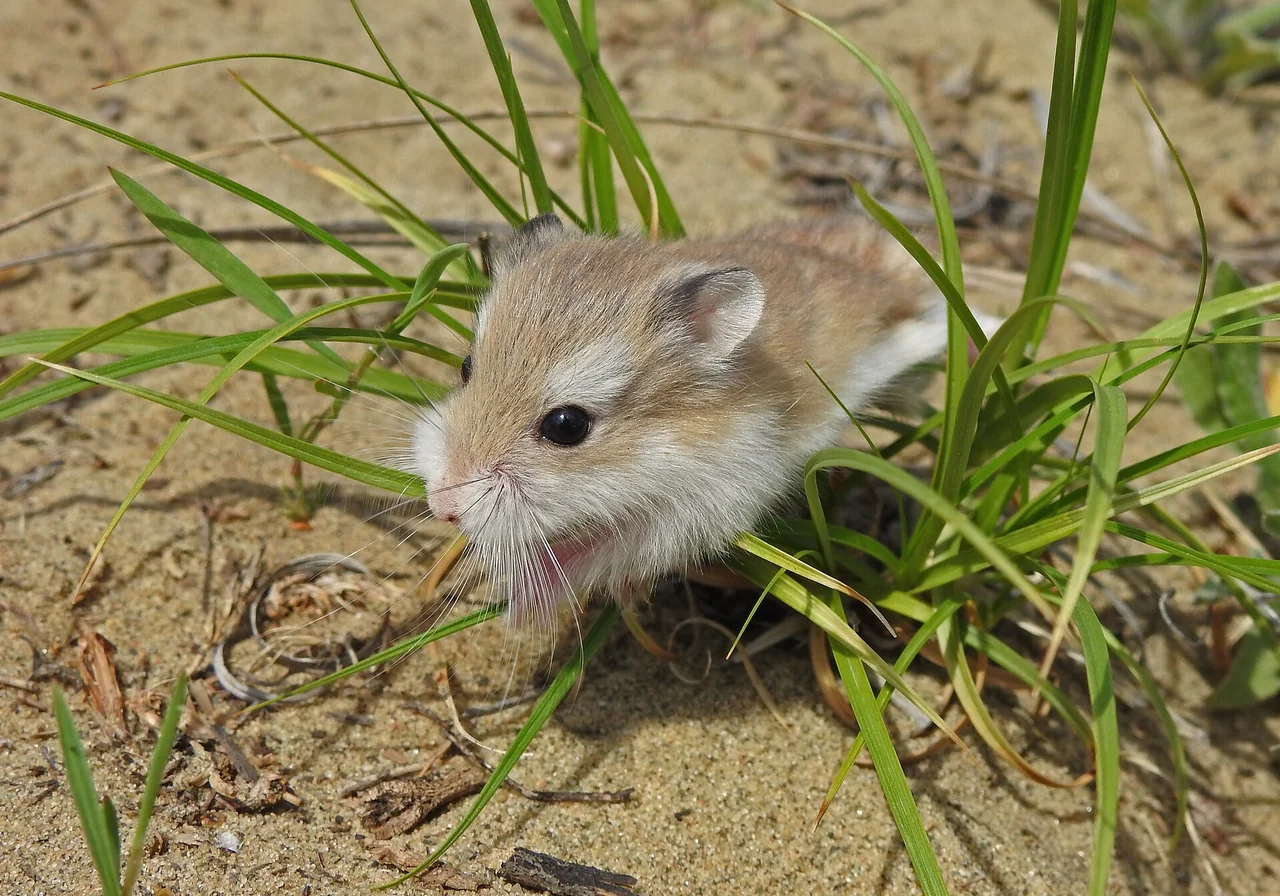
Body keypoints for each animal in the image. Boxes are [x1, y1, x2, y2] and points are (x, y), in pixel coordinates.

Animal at [408, 213, 991, 626]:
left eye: (567, 426)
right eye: (465, 368)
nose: (442, 507)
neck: (665, 439)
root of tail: (892, 264)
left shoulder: (702, 506)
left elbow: (606, 552)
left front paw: (518, 614)